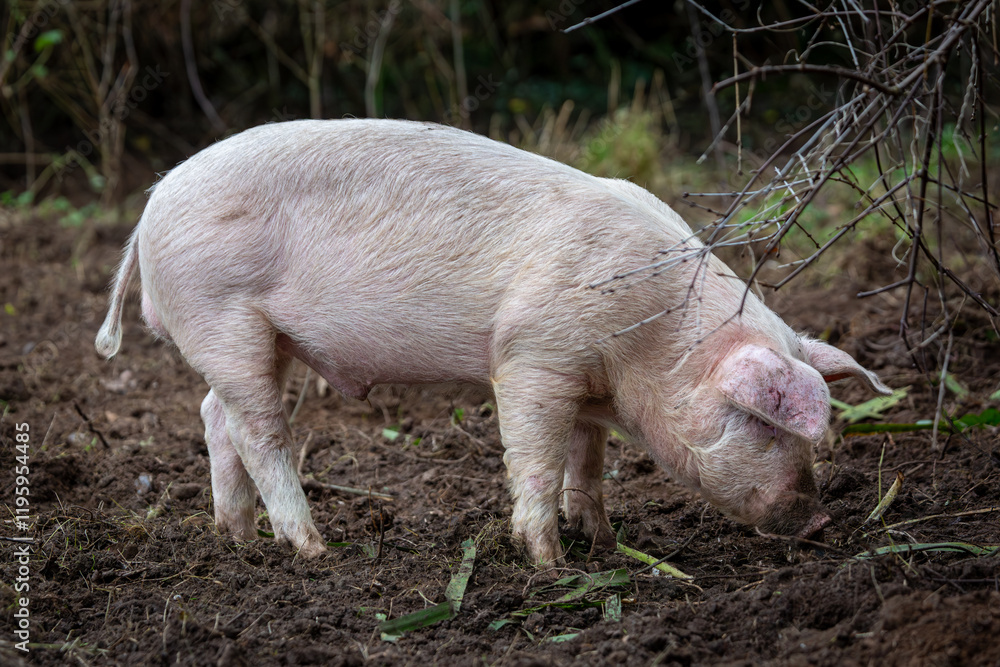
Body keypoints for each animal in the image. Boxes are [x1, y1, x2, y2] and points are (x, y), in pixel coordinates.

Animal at [95, 118, 892, 564]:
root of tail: (149, 207)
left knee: (215, 415)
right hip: (220, 313)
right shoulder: (534, 356)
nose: (822, 519)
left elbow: (587, 461)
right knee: (260, 431)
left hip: (262, 338)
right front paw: (549, 564)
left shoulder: (585, 380)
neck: (648, 343)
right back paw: (314, 550)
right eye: (762, 421)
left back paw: (237, 541)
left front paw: (603, 541)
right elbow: (535, 456)